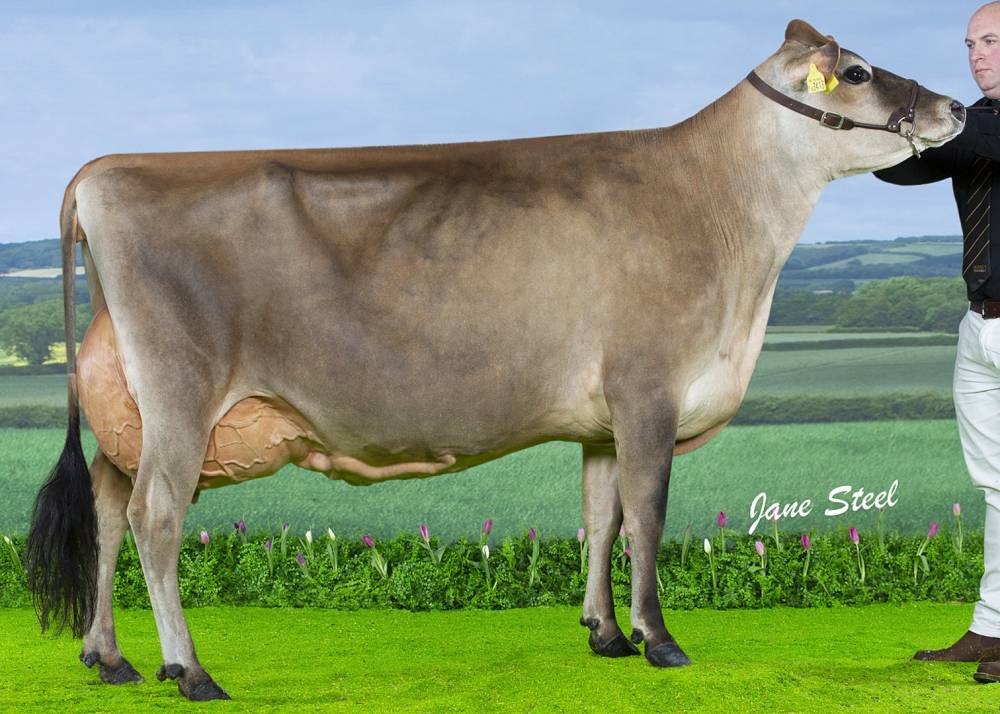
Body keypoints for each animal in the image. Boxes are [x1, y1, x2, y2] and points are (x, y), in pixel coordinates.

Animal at [25, 19, 964, 701]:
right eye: (858, 73)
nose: (956, 108)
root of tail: (101, 170)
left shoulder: (602, 420)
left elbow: (601, 518)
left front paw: (606, 634)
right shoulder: (648, 390)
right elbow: (649, 518)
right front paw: (659, 639)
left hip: (132, 410)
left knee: (106, 507)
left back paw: (108, 657)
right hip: (182, 394)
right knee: (154, 517)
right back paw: (189, 671)